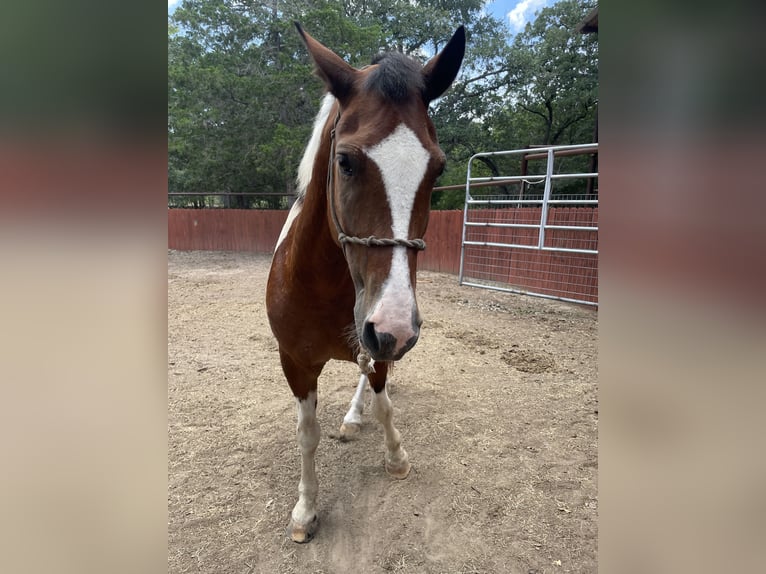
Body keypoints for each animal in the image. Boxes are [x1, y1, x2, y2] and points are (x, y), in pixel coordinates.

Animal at [266, 22, 465, 543]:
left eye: (437, 168)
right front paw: (305, 511)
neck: (328, 285)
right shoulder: (295, 362)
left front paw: (395, 457)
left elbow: (384, 405)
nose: (393, 325)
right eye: (346, 162)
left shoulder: (380, 342)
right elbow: (307, 434)